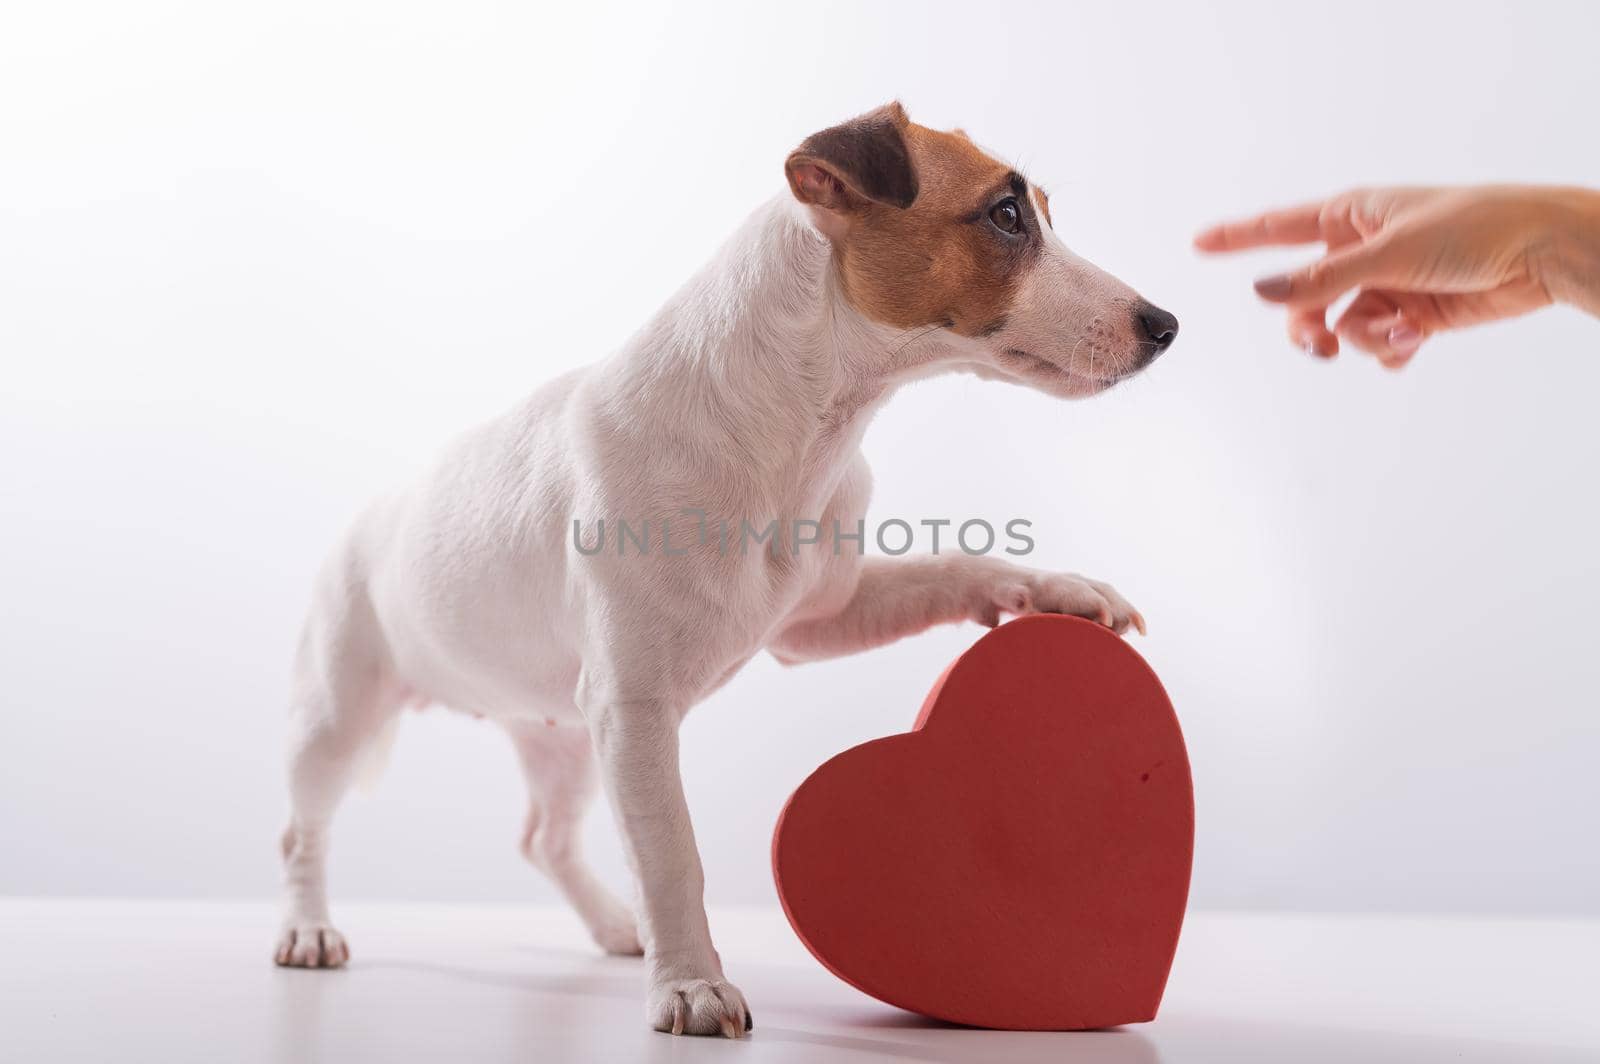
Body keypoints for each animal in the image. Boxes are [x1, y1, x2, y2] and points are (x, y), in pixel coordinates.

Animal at [272, 104, 1177, 1030]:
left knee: (546, 839)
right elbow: (671, 853)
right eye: (1005, 215)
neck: (799, 429)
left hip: (562, 735)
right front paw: (691, 984)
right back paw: (309, 932)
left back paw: (614, 926)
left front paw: (1062, 589)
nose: (1165, 325)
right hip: (338, 717)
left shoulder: (818, 623)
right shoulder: (635, 710)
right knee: (303, 832)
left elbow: (950, 567)